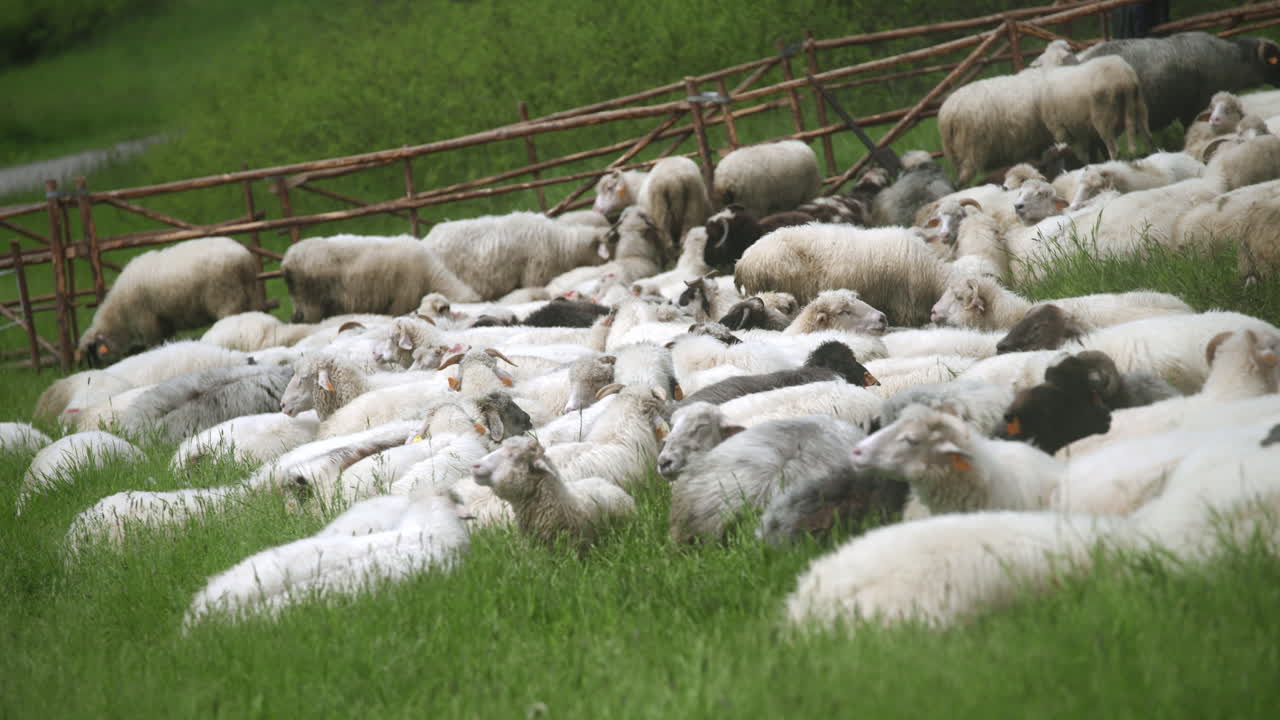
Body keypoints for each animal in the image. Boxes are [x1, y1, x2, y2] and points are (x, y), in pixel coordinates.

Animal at [75, 236, 258, 365]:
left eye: (93, 353)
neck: (119, 315)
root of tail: (244, 259)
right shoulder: (164, 323)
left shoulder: (148, 323)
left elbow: (154, 345)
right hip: (249, 296)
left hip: (228, 298)